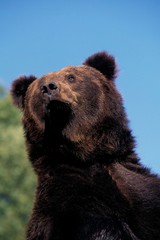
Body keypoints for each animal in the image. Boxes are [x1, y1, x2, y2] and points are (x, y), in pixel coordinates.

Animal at [10, 52, 160, 240]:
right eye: (38, 88)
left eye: (71, 77)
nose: (49, 87)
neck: (89, 157)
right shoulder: (68, 200)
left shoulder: (141, 190)